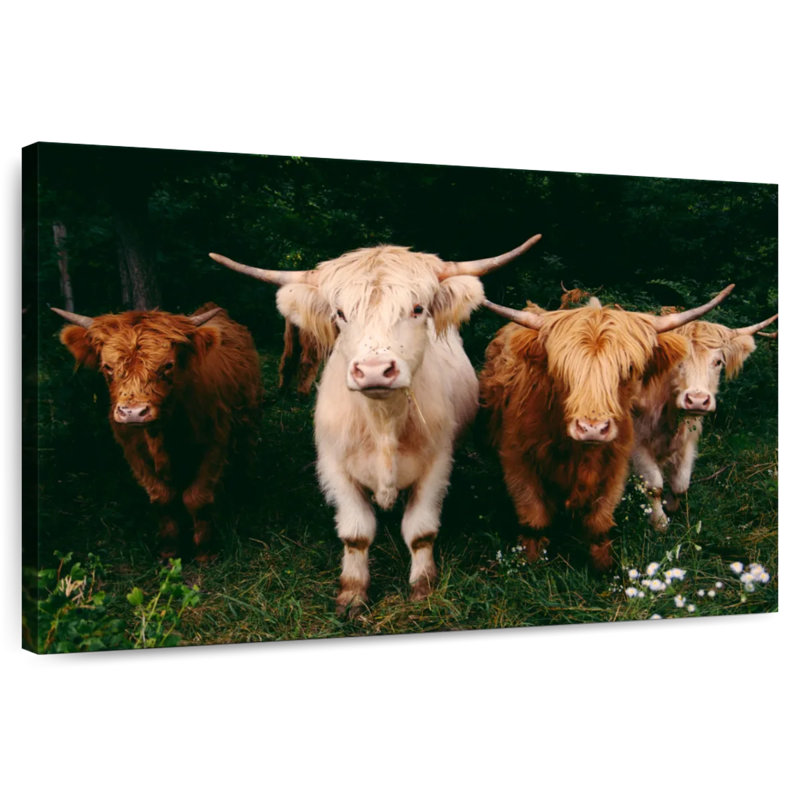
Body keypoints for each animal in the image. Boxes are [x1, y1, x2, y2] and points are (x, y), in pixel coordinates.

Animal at [52, 303, 263, 561]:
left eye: (167, 366)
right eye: (107, 367)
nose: (133, 412)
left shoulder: (215, 443)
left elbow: (197, 497)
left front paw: (205, 552)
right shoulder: (134, 453)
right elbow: (163, 497)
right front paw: (169, 551)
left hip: (249, 418)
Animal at [210, 235, 541, 614]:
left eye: (417, 308)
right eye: (340, 313)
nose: (373, 371)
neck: (383, 423)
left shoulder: (435, 466)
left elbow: (420, 531)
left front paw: (423, 586)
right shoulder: (335, 467)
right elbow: (356, 533)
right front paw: (353, 593)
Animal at [479, 286, 733, 572]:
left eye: (629, 368)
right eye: (561, 368)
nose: (592, 428)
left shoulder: (615, 465)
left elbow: (600, 522)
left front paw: (603, 566)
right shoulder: (518, 461)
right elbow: (534, 517)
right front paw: (532, 562)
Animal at [632, 311, 777, 529]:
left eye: (718, 362)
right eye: (678, 360)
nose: (698, 400)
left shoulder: (688, 439)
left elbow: (681, 483)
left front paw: (671, 505)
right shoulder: (638, 444)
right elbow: (654, 485)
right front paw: (659, 522)